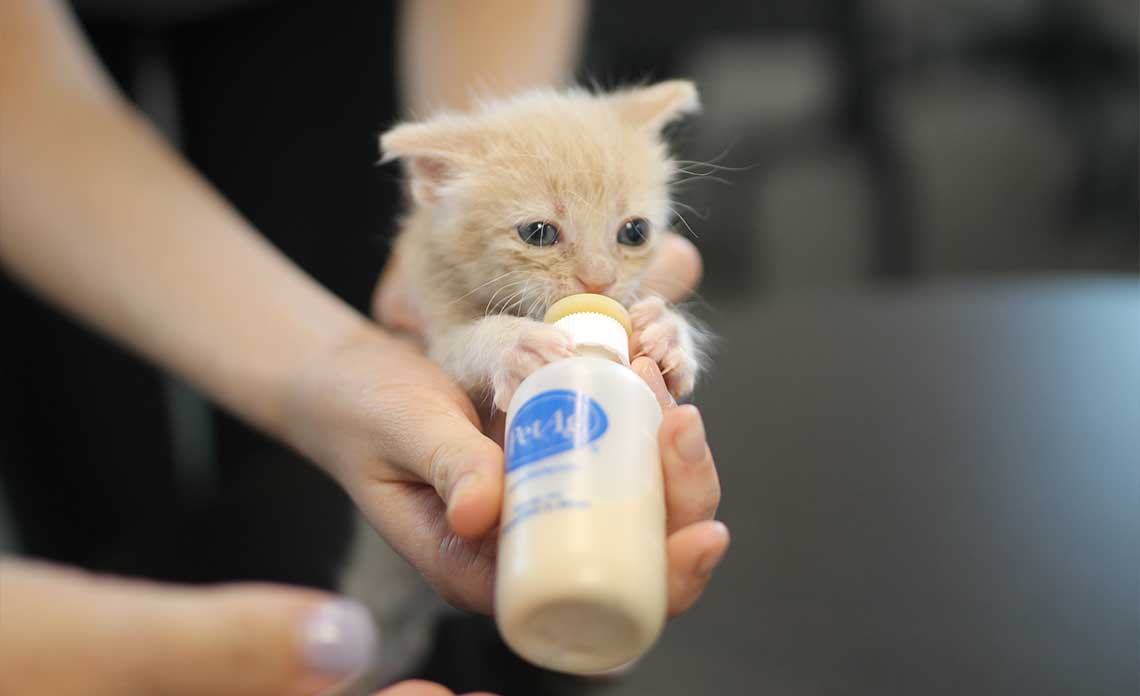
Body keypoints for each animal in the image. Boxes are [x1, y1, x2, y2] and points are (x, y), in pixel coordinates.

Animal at [378, 80, 706, 407]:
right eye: (538, 233)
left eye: (635, 232)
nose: (599, 282)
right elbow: (456, 348)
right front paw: (514, 342)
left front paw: (666, 329)